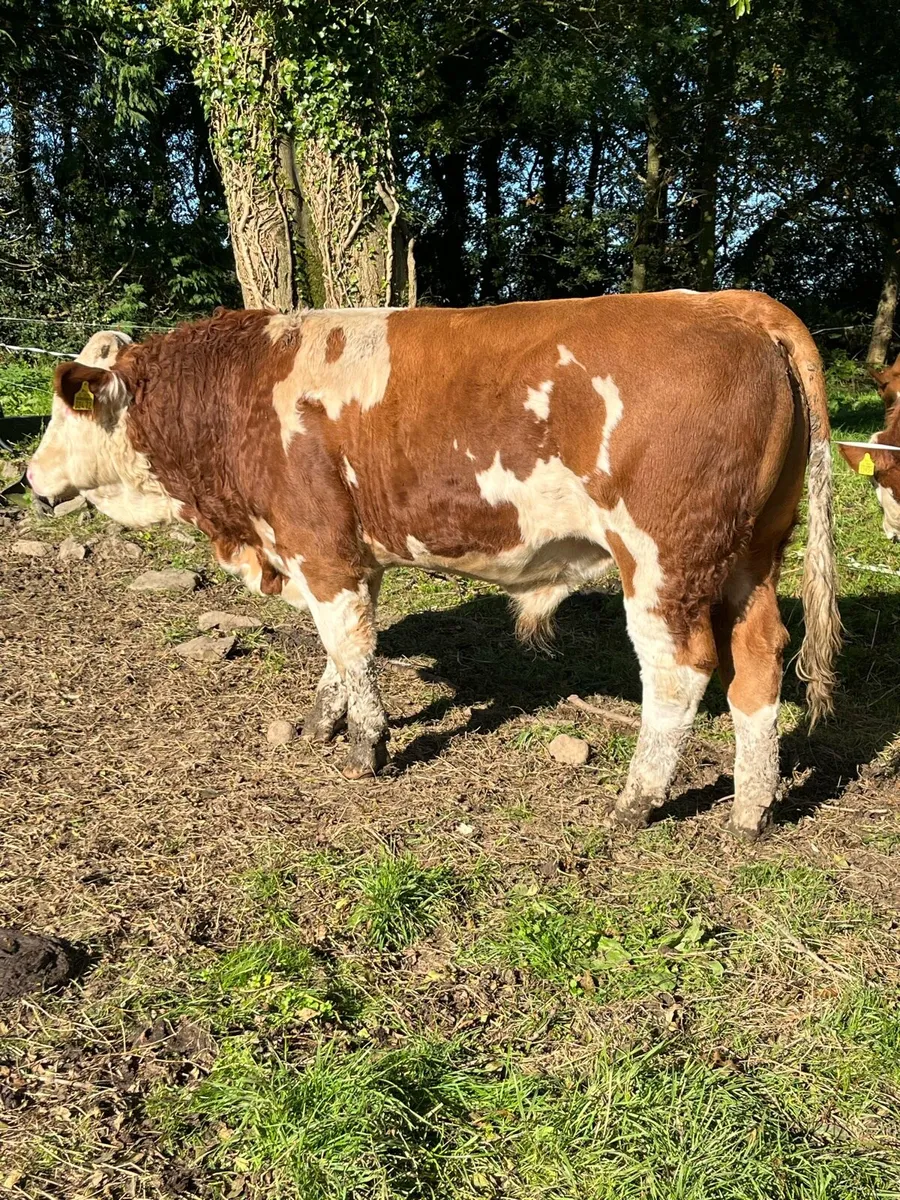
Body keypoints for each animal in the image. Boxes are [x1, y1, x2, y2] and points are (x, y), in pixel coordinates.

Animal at [26, 291, 841, 840]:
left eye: (66, 410)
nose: (29, 477)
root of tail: (728, 303)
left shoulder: (319, 544)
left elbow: (350, 645)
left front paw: (367, 745)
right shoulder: (349, 554)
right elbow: (341, 648)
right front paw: (324, 721)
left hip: (663, 558)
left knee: (680, 670)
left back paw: (635, 800)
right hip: (751, 555)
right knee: (759, 659)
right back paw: (751, 808)